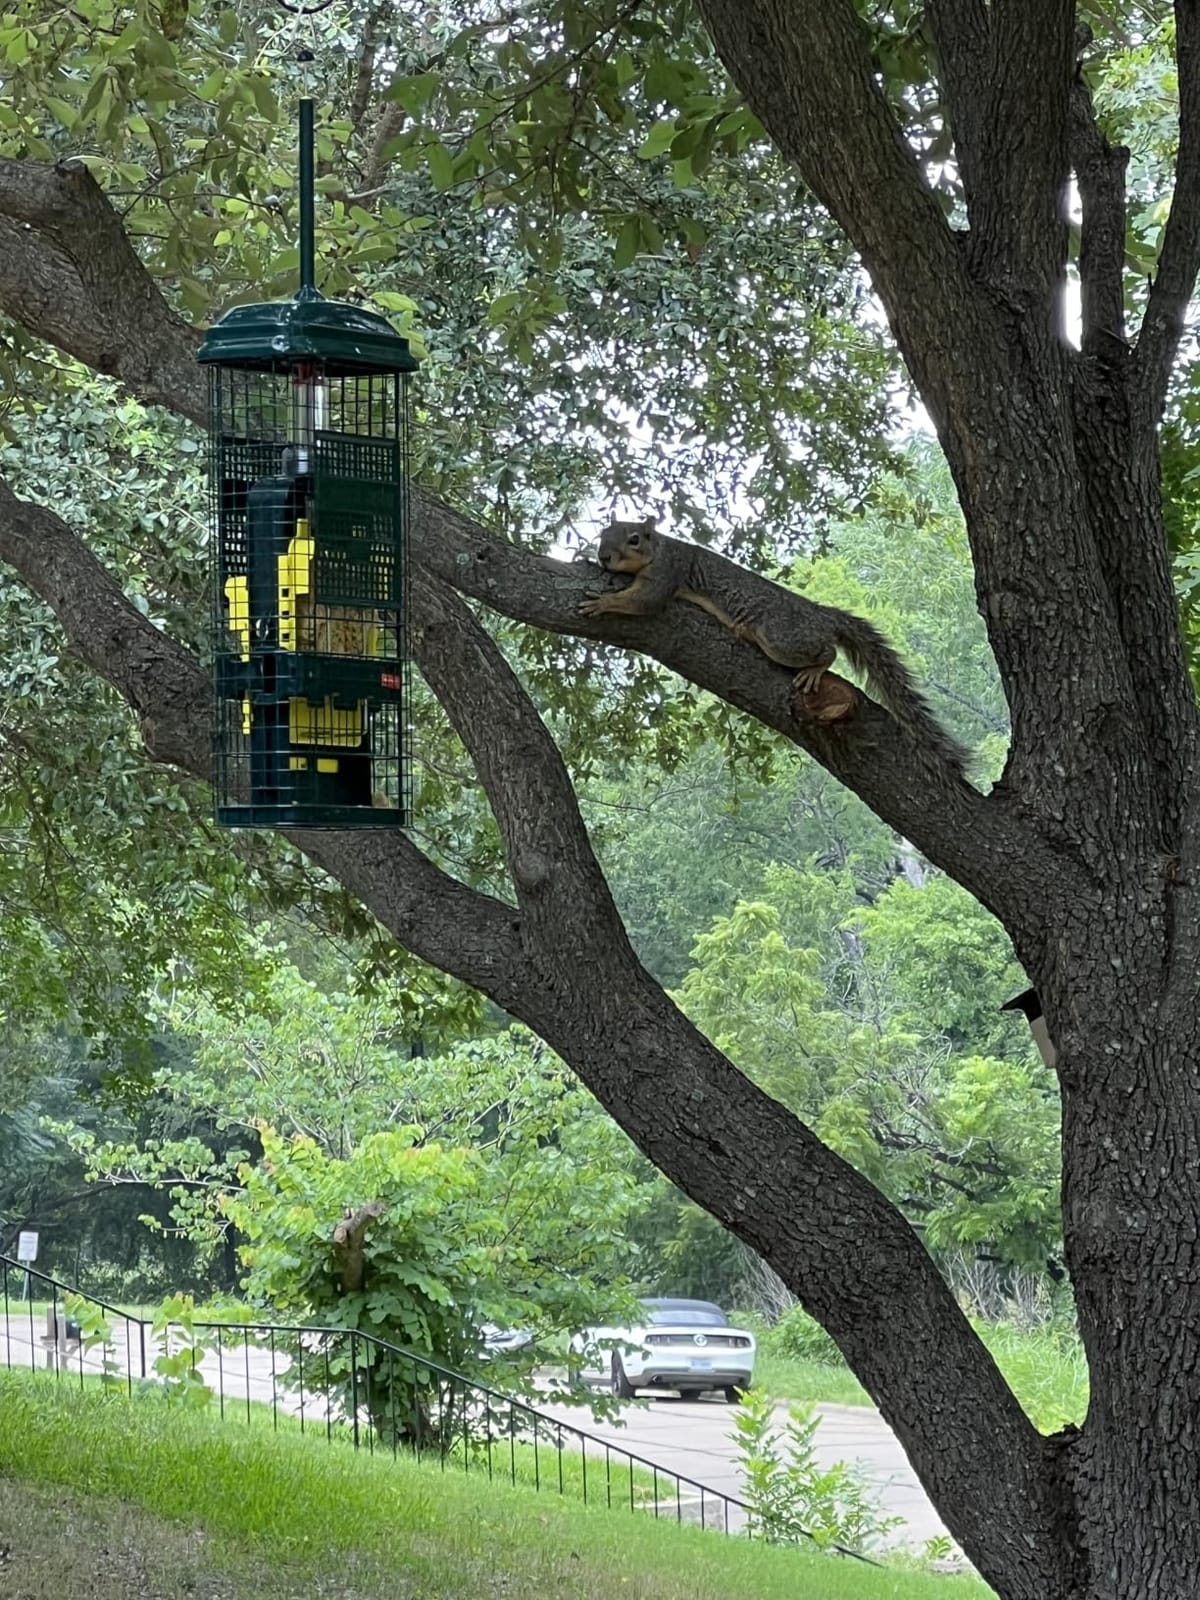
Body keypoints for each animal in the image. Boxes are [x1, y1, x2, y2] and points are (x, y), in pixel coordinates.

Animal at [579, 517, 969, 778]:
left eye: (634, 538)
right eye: (603, 535)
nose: (604, 557)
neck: (660, 549)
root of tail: (821, 615)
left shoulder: (665, 574)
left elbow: (643, 601)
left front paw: (604, 603)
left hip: (780, 637)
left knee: (826, 651)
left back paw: (815, 668)